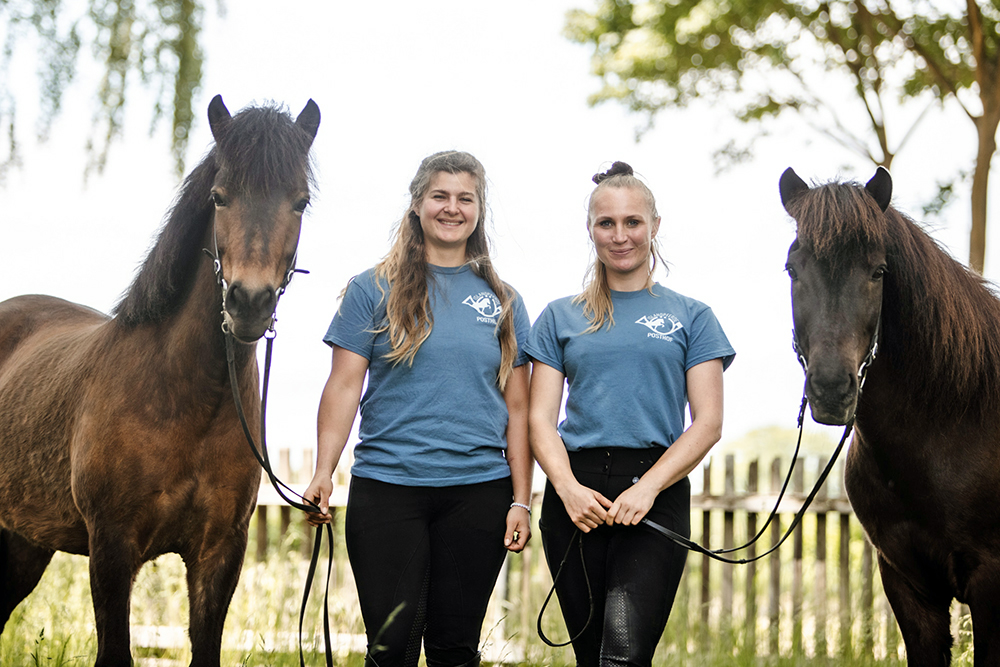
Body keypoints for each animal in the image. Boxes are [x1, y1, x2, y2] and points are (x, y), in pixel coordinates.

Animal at [0, 95, 320, 667]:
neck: (186, 399)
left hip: (26, 542)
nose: (249, 302)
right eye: (219, 196)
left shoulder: (220, 551)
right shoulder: (111, 549)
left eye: (300, 202)